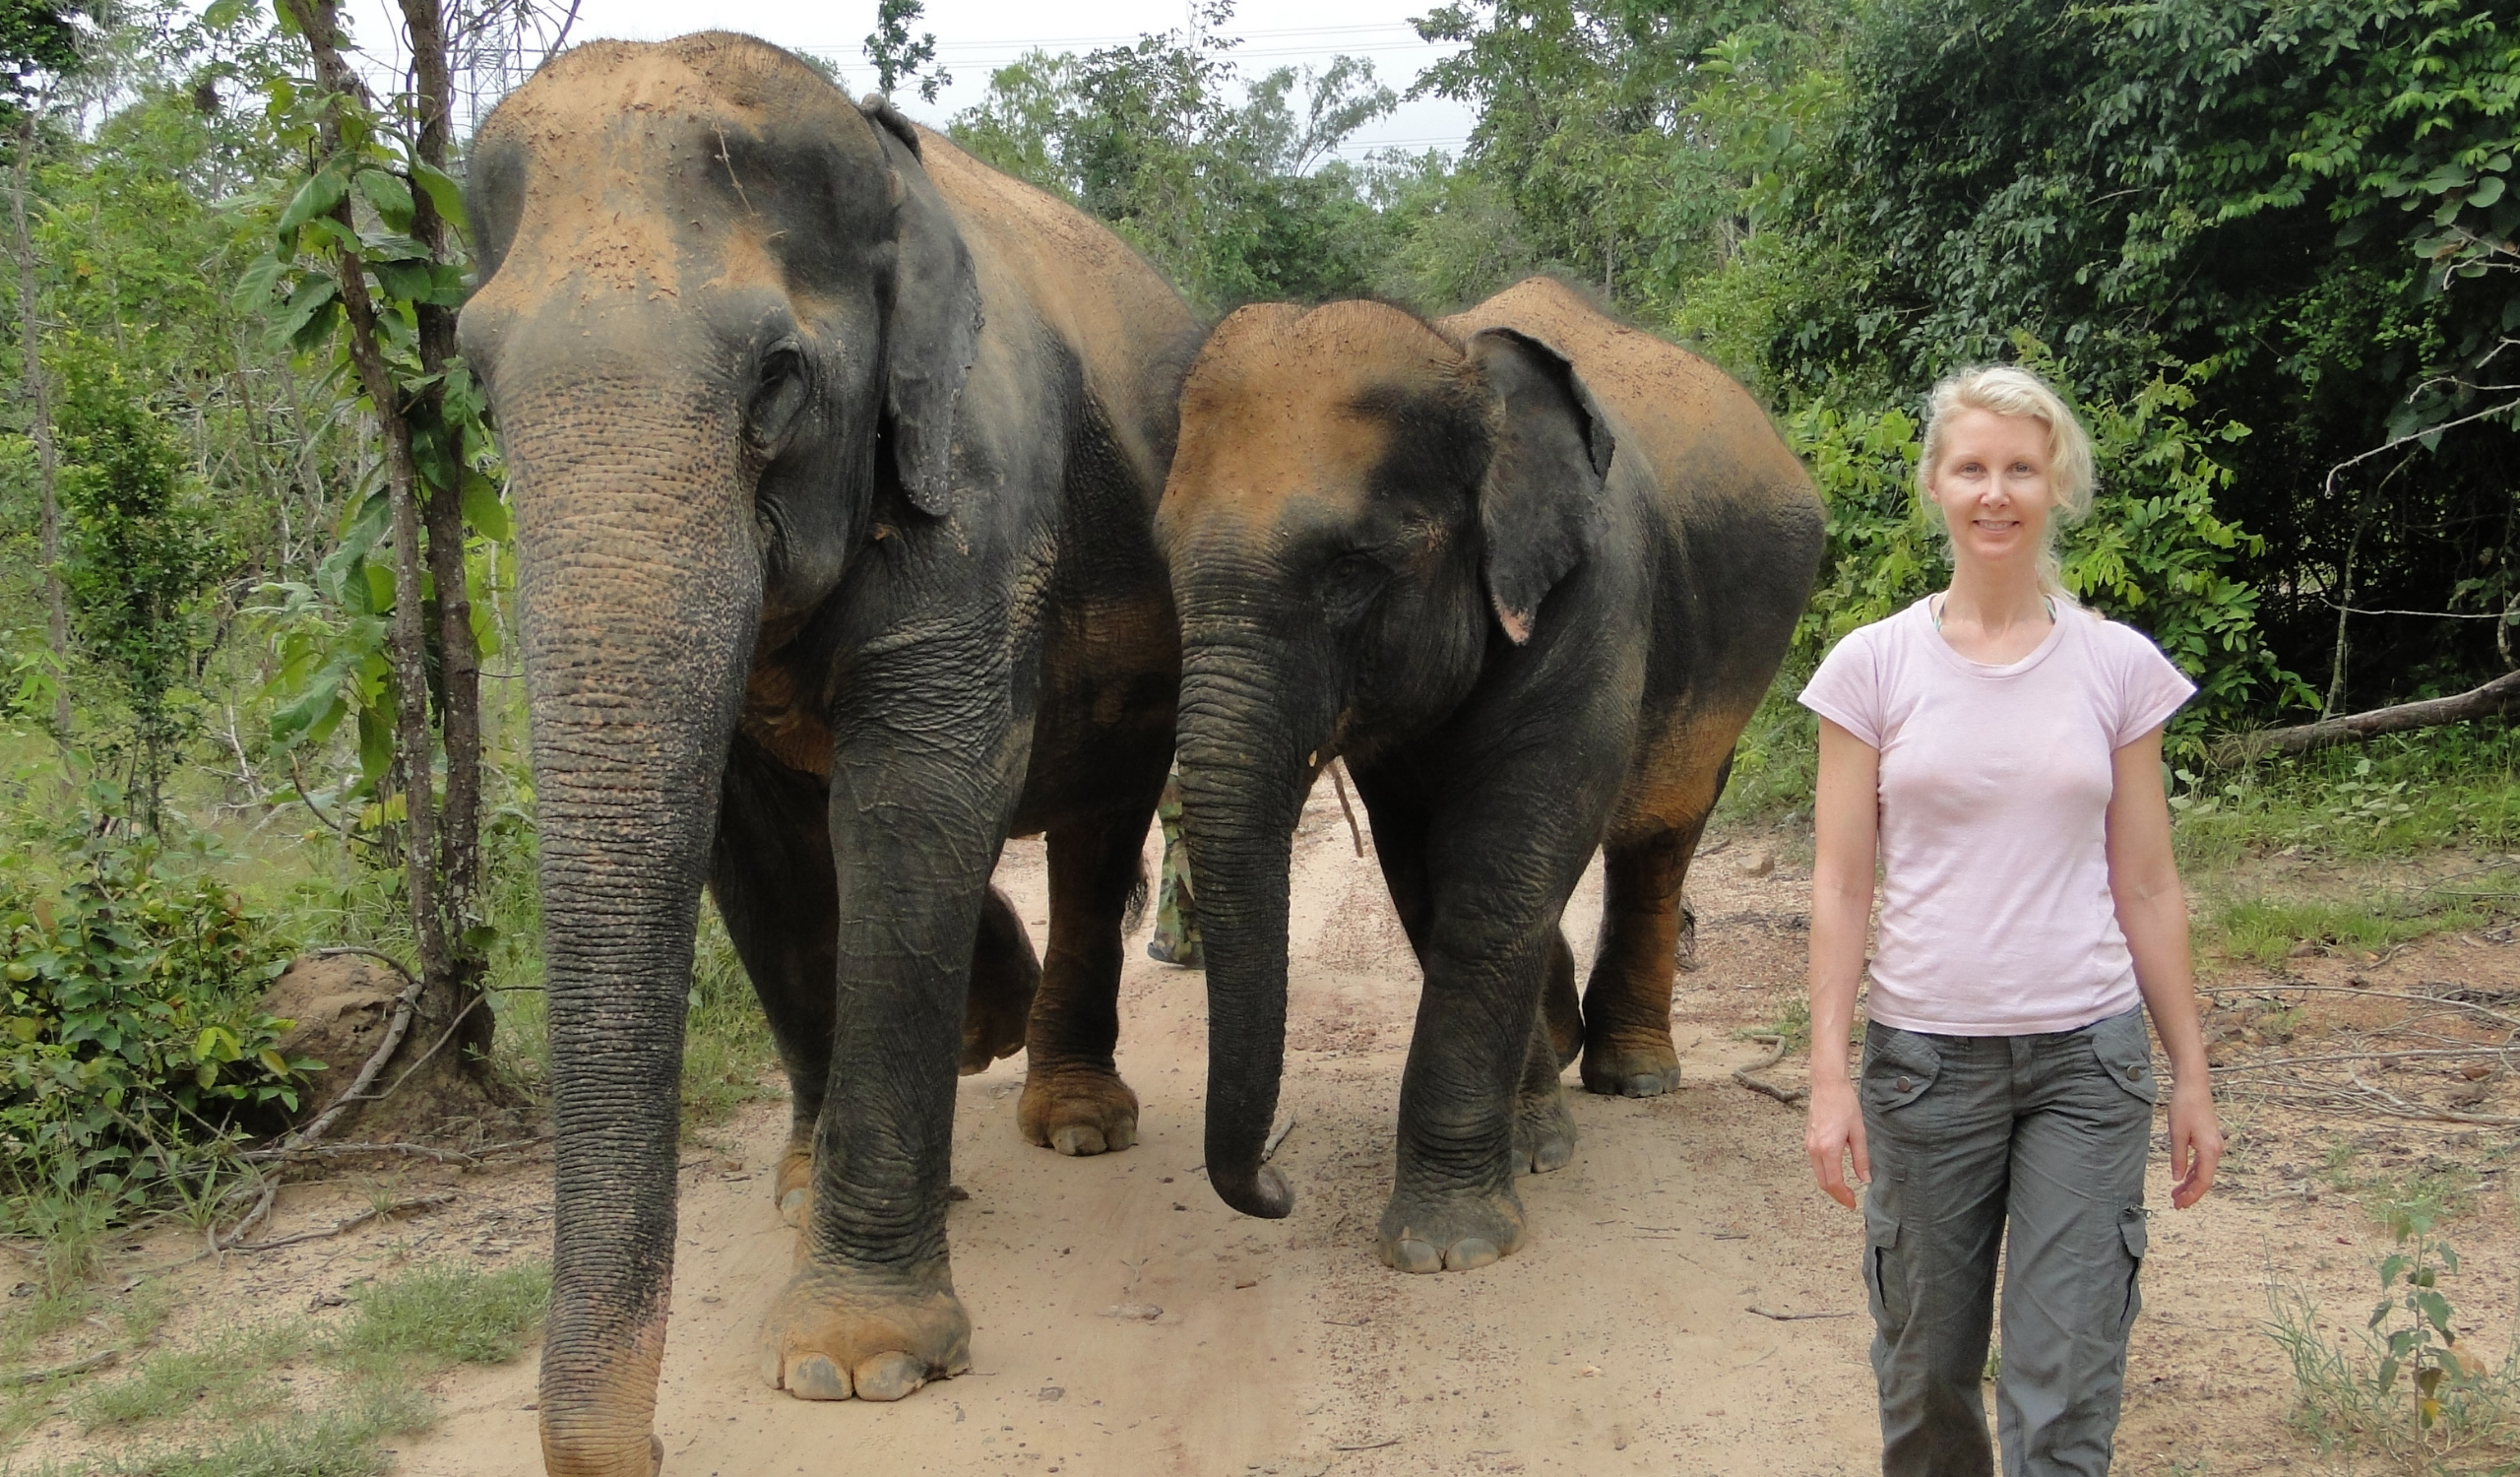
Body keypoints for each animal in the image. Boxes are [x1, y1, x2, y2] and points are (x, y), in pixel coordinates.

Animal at [456, 33, 1201, 1473]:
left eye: (776, 381)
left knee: (1097, 831)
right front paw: (803, 1190)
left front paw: (855, 1363)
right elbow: (752, 854)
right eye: (474, 380)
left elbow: (913, 806)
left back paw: (1076, 1122)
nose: (635, 1455)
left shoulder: (974, 488)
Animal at [1160, 276, 1823, 1274]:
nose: (1278, 1189)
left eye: (1353, 569)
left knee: (1662, 833)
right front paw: (1533, 1150)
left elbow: (1500, 869)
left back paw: (1635, 1077)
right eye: (1162, 556)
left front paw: (1448, 1248)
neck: (1460, 362)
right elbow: (1429, 876)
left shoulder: (1598, 596)